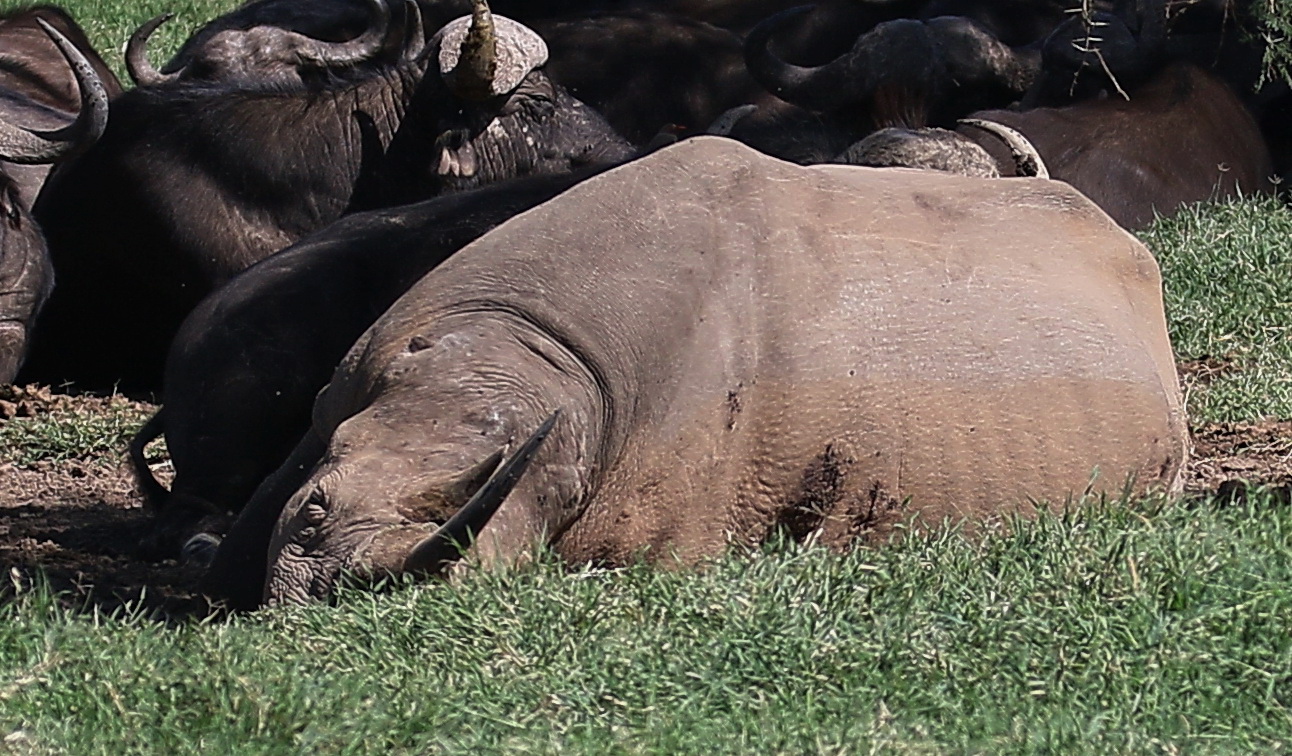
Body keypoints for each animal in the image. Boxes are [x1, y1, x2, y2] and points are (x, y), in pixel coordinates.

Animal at [204, 136, 1188, 607]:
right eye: (315, 515)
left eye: (497, 569)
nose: (349, 594)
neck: (499, 355)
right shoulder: (348, 384)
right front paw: (211, 557)